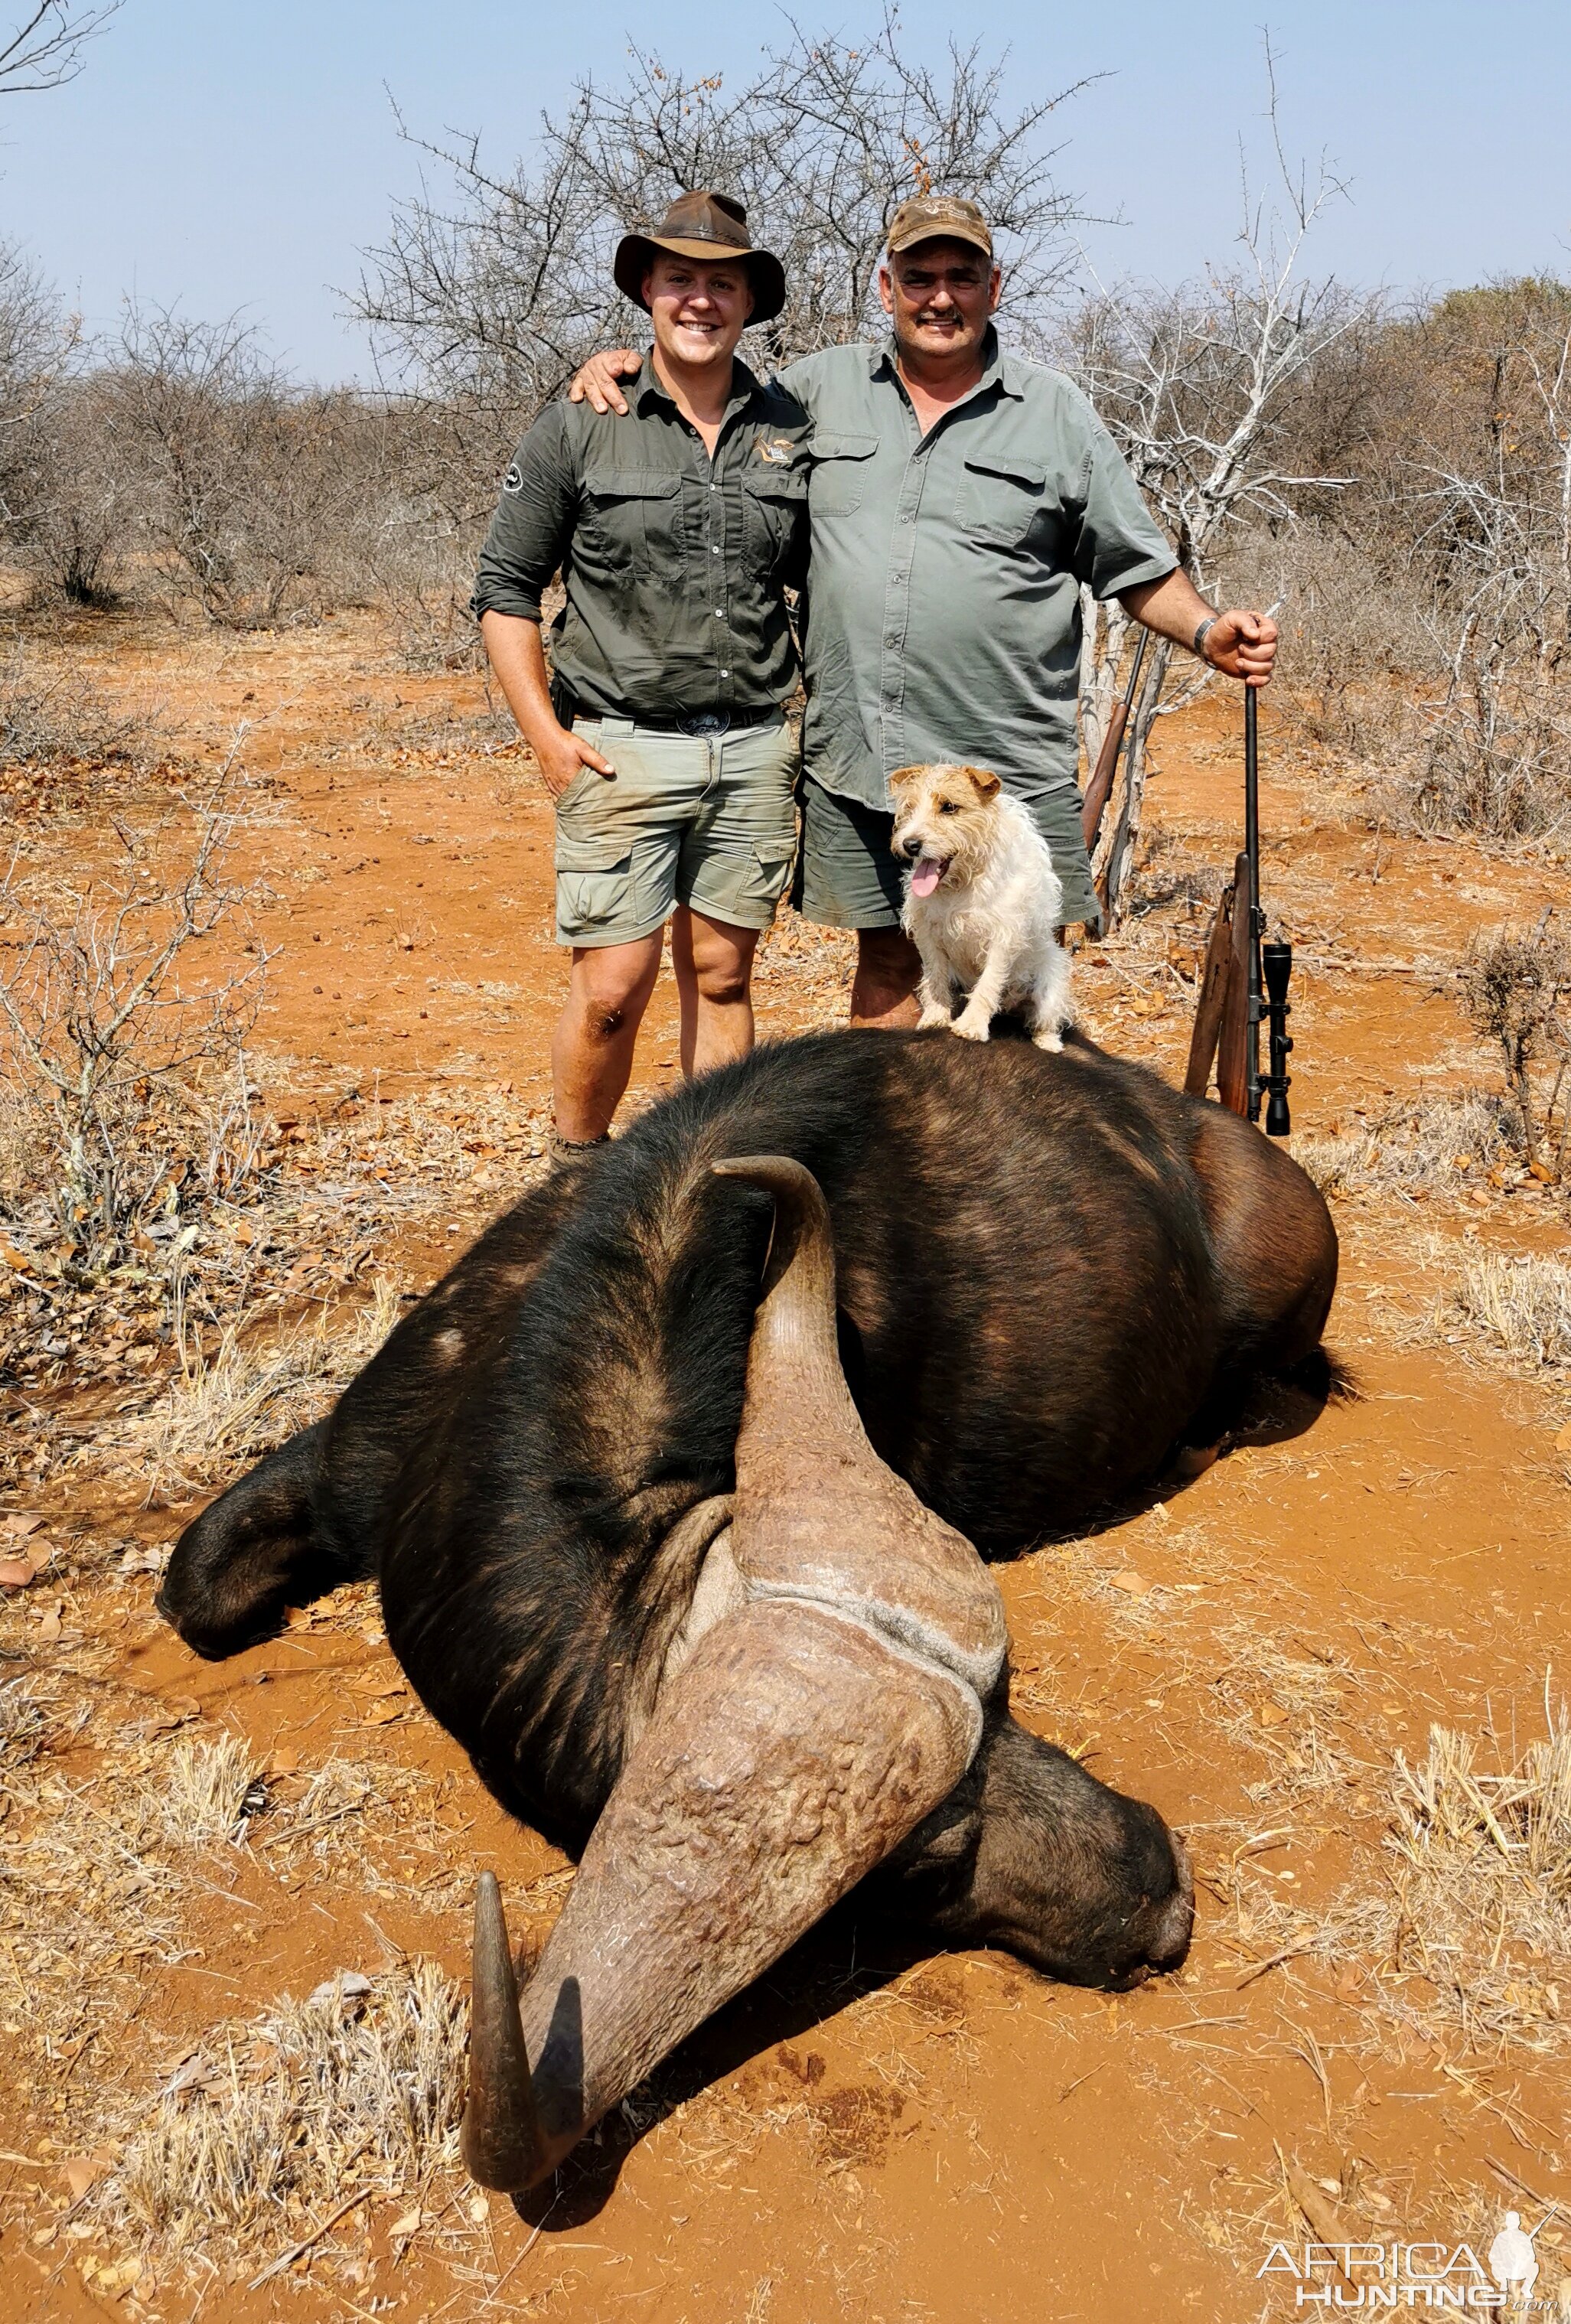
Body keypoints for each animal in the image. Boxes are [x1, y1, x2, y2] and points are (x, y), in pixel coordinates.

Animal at [888, 762, 1074, 1054]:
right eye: (910, 807)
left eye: (949, 807)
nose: (910, 844)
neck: (962, 883)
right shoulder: (928, 933)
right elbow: (935, 977)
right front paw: (936, 1018)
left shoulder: (1003, 936)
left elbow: (988, 982)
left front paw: (972, 1025)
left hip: (1049, 988)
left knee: (1044, 1021)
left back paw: (1049, 1043)